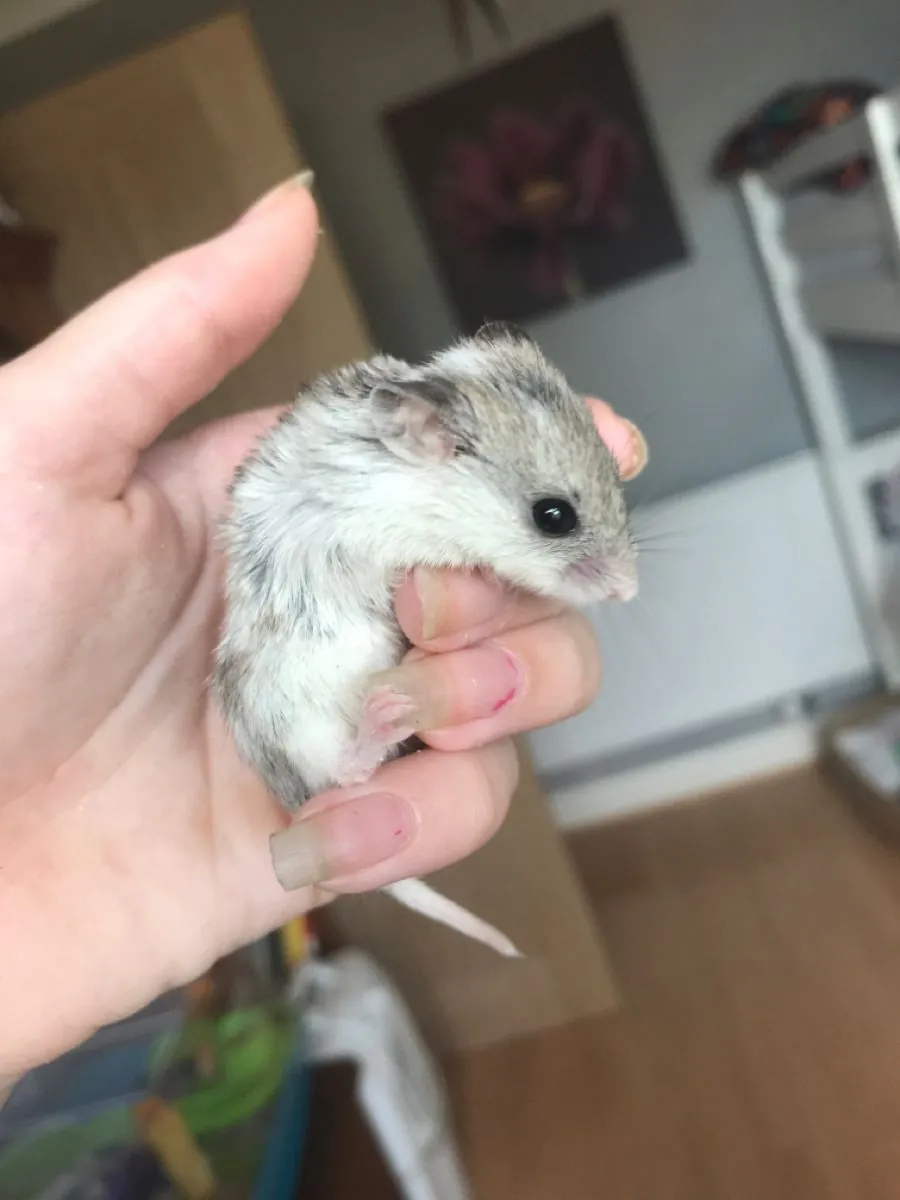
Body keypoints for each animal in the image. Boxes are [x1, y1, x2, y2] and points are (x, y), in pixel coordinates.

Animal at [213, 321, 638, 956]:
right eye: (553, 515)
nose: (632, 591)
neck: (419, 484)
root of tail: (289, 797)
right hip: (298, 710)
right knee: (346, 773)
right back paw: (385, 712)